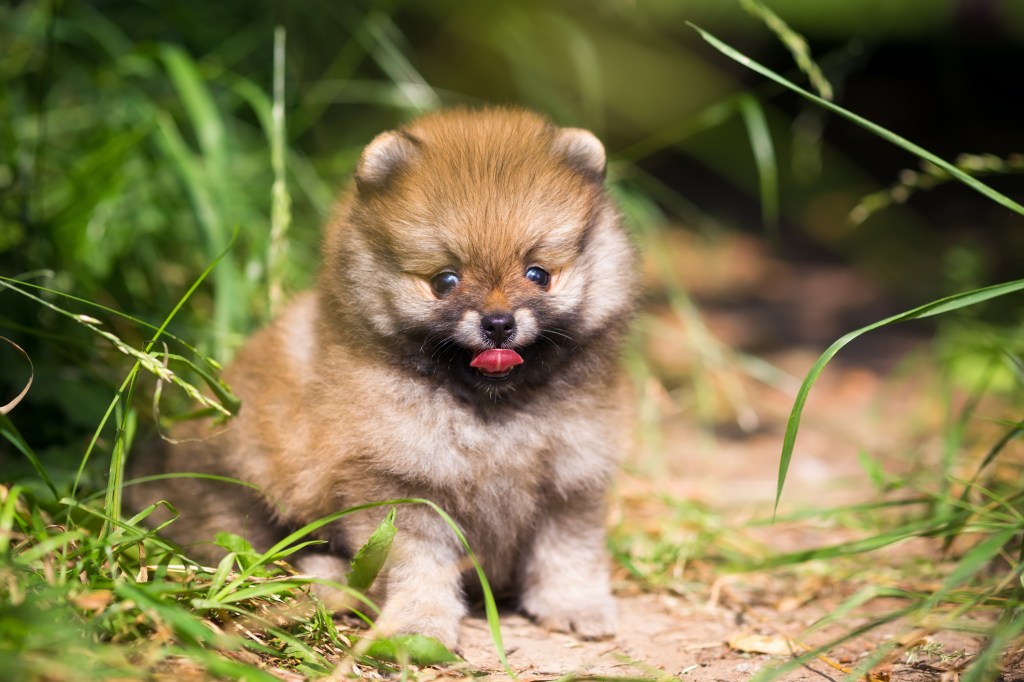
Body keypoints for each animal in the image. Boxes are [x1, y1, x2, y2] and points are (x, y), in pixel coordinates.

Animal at [132, 104, 634, 643]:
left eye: (538, 274)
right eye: (445, 281)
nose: (498, 323)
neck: (492, 412)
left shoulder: (570, 479)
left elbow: (568, 554)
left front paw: (576, 605)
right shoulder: (403, 489)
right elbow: (417, 568)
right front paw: (419, 626)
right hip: (240, 484)